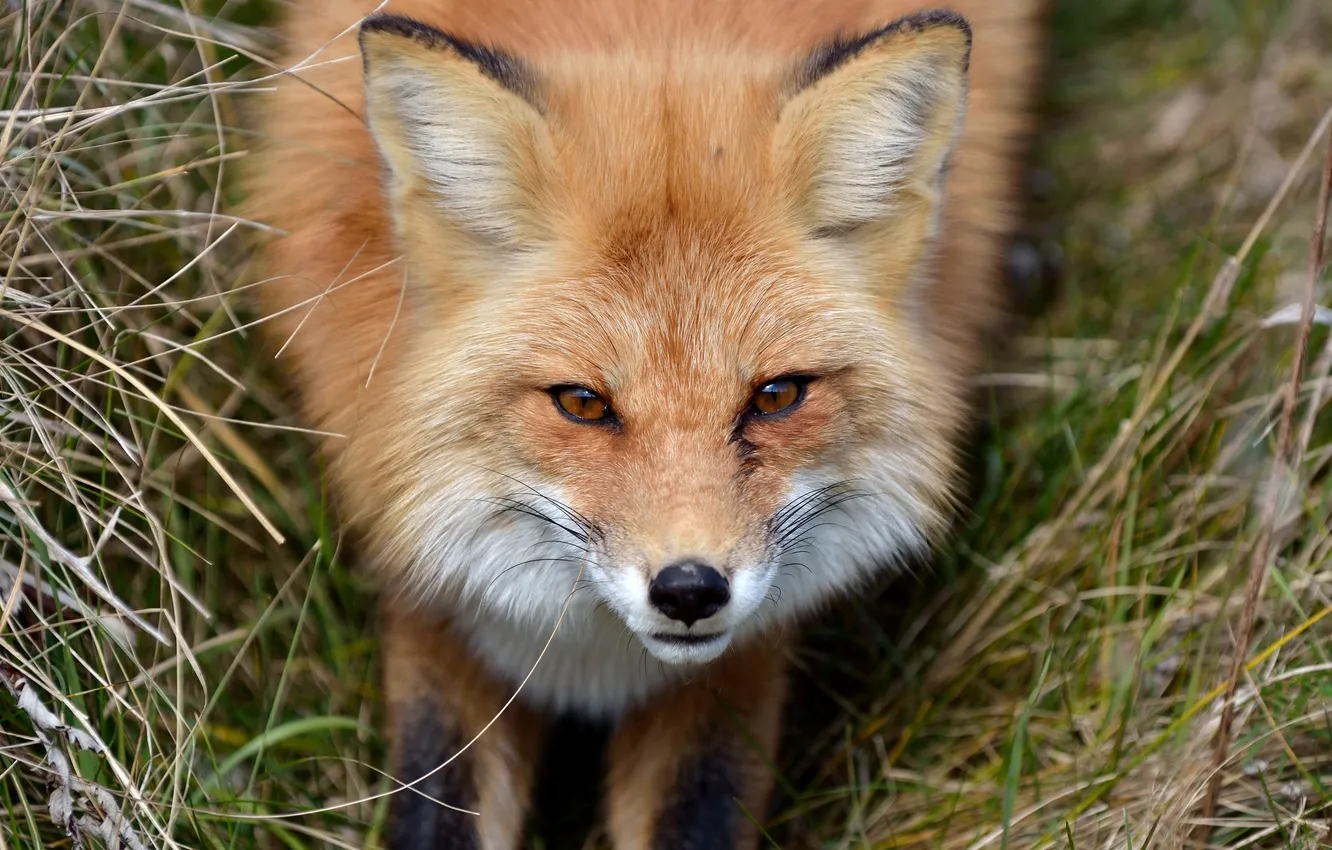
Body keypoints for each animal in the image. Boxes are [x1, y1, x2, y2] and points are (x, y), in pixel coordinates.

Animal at [248, 0, 1044, 844]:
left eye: (776, 396)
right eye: (582, 403)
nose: (690, 590)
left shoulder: (738, 656)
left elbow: (696, 809)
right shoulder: (433, 591)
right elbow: (437, 808)